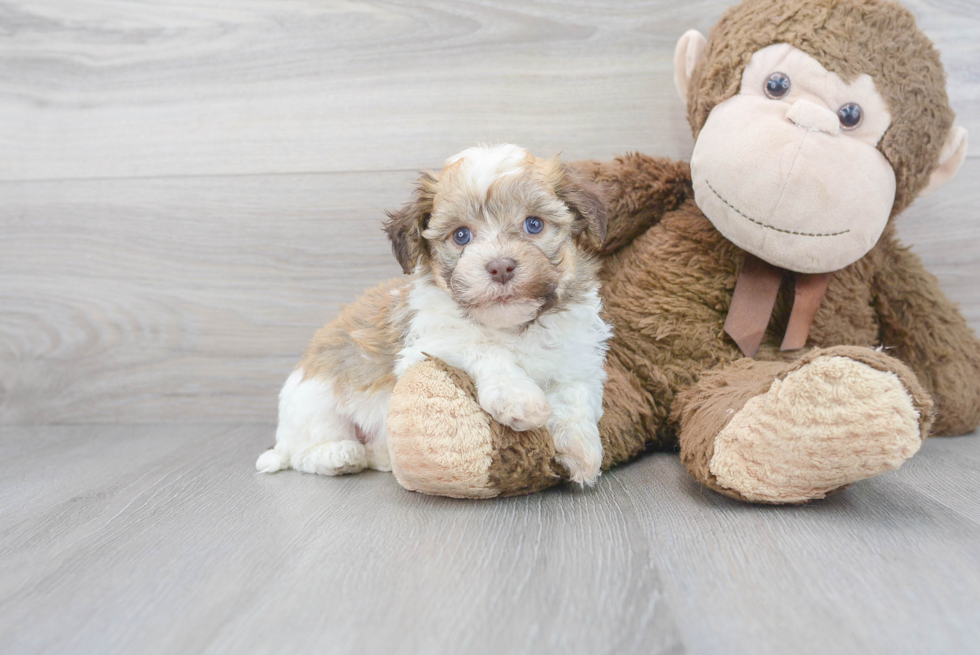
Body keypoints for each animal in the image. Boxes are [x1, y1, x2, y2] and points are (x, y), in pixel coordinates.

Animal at [256, 146, 608, 490]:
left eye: (534, 224)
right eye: (461, 236)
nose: (500, 266)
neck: (512, 326)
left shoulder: (576, 357)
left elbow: (574, 394)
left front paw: (581, 447)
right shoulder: (428, 344)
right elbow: (484, 348)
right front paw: (518, 396)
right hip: (315, 403)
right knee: (303, 452)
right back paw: (337, 455)